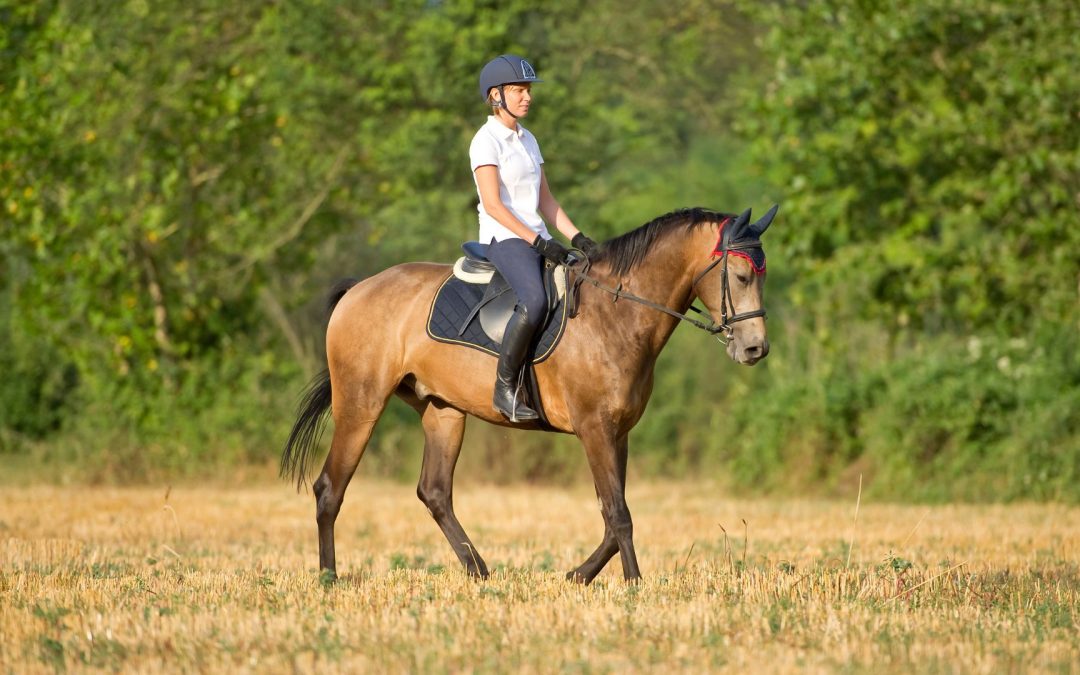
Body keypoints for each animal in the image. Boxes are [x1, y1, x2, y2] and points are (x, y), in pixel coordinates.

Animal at [282, 203, 777, 583]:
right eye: (739, 276)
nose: (755, 348)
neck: (617, 313)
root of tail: (359, 289)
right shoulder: (595, 428)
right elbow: (618, 513)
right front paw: (634, 585)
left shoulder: (618, 433)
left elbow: (612, 513)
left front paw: (579, 575)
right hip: (361, 403)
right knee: (330, 488)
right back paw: (329, 577)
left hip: (443, 410)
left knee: (435, 492)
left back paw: (478, 571)